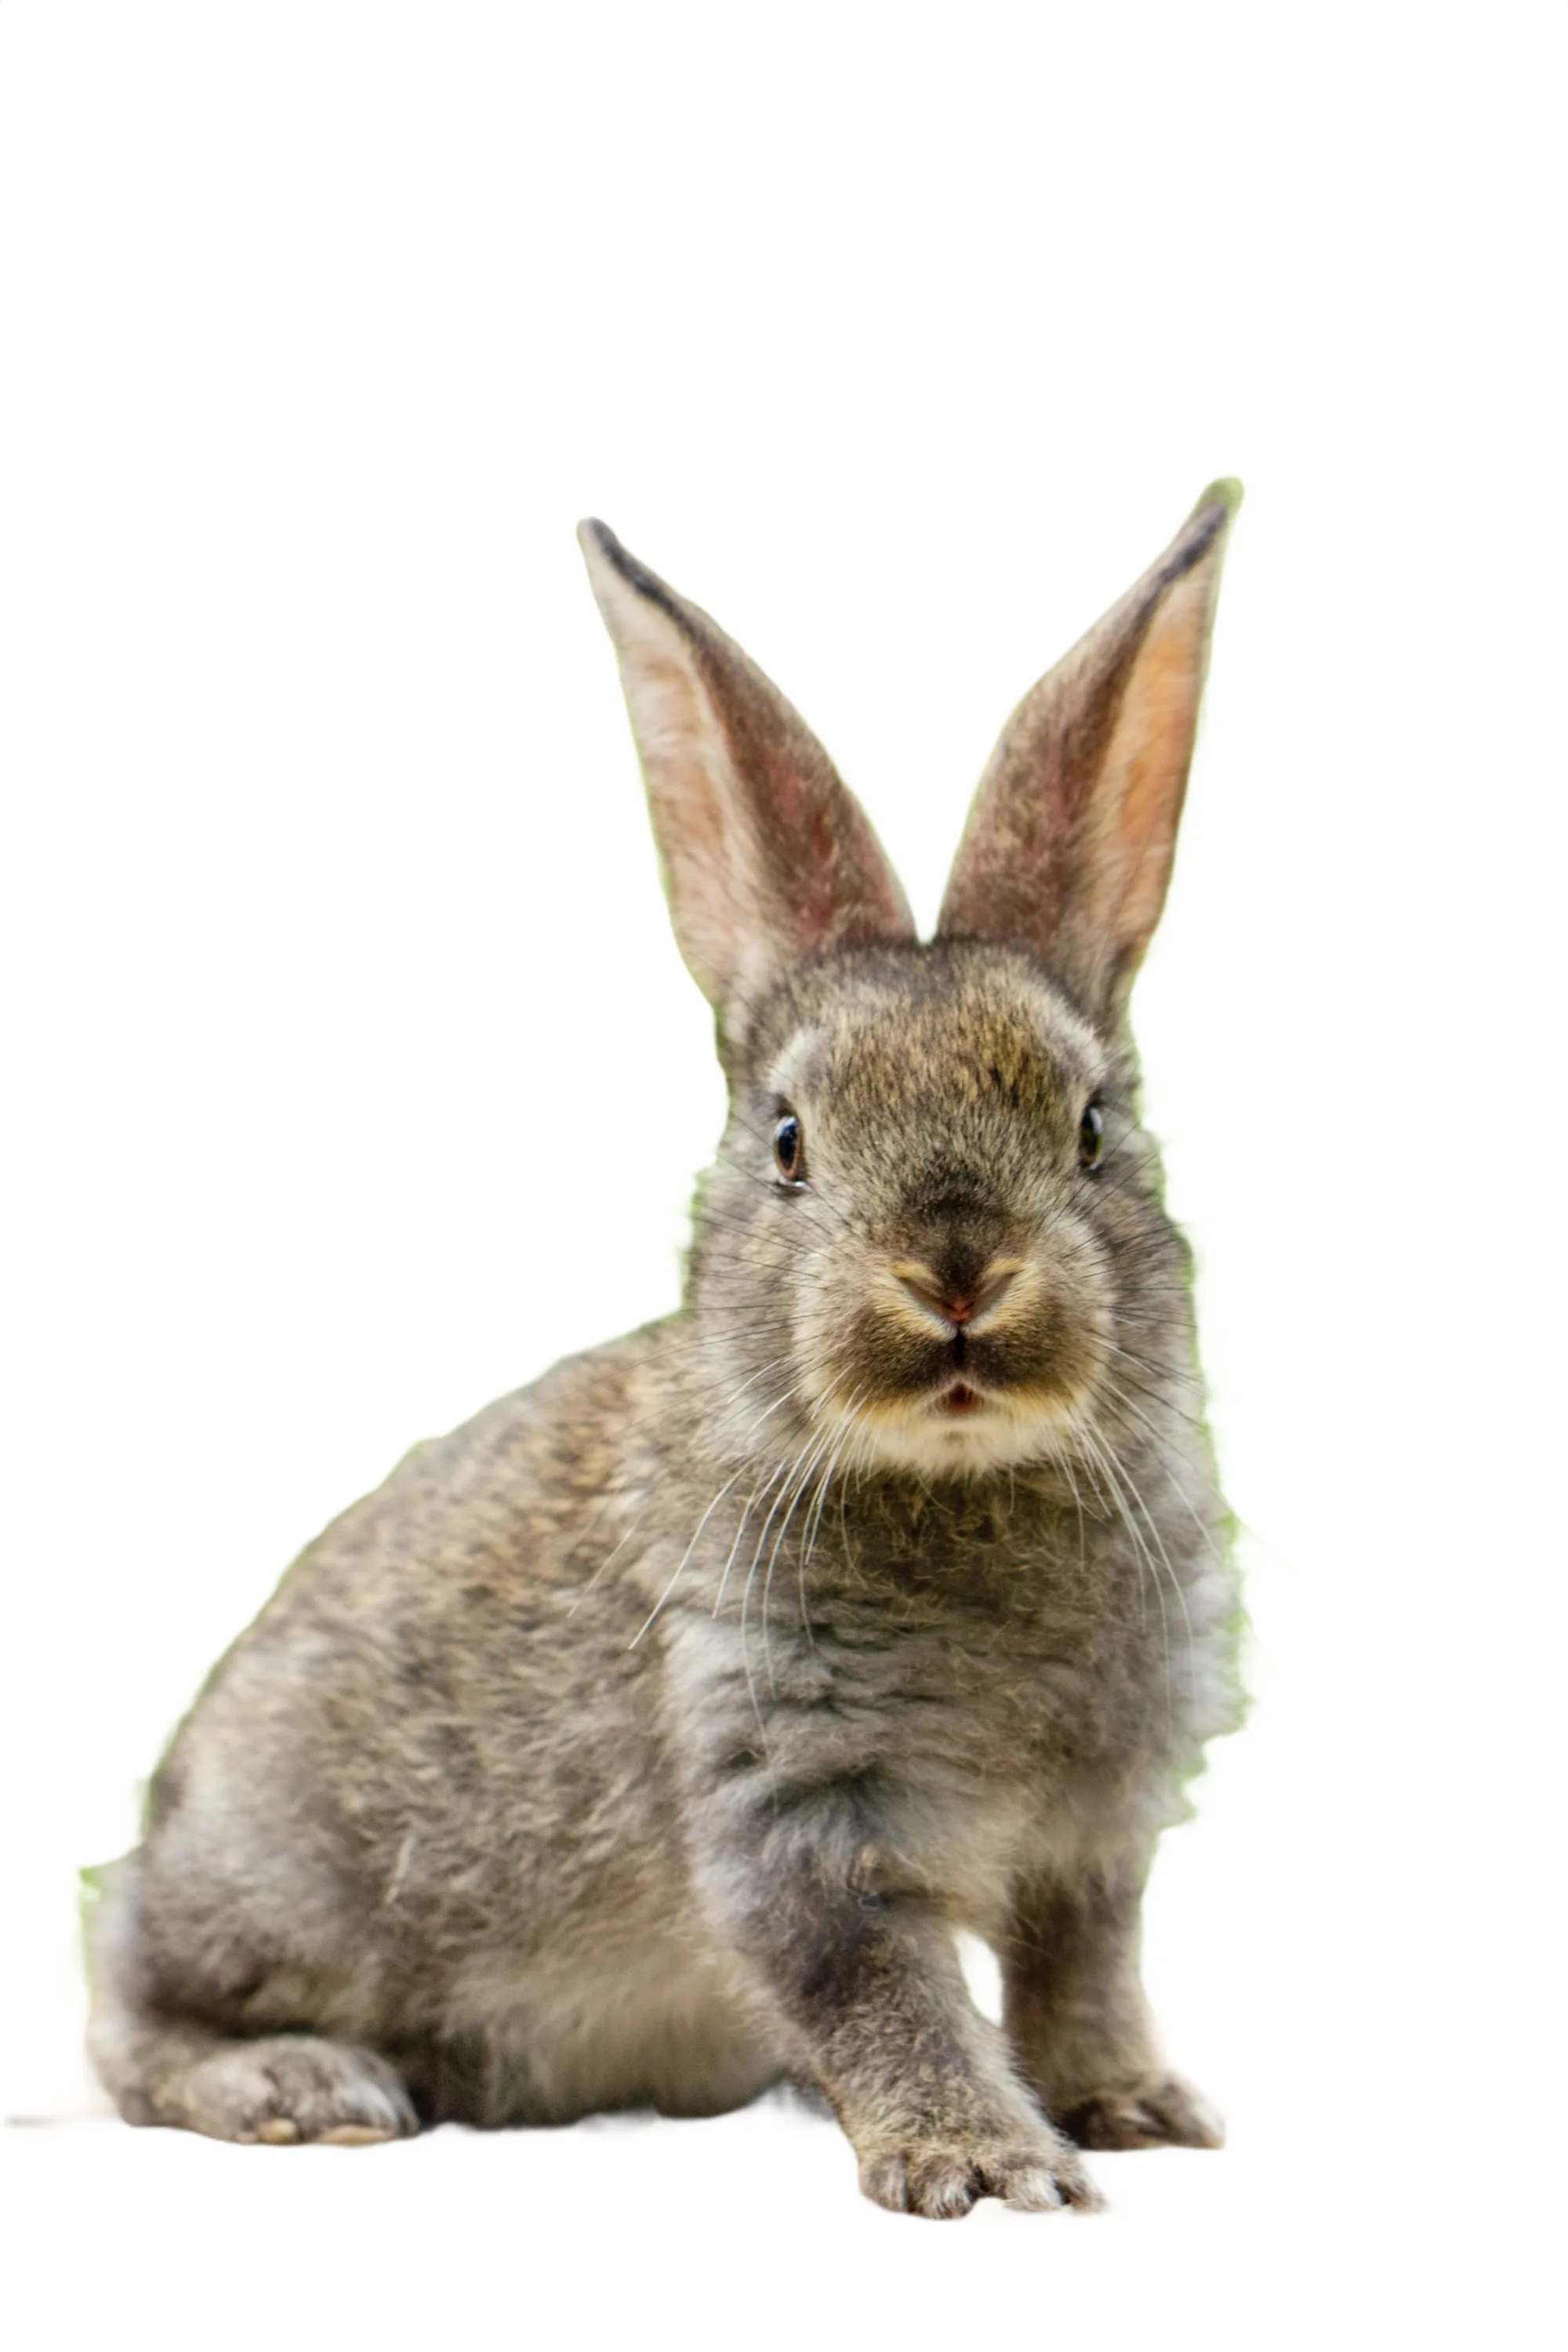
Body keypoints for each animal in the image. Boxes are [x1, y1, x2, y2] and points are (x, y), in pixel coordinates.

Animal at [86, 482, 1246, 2217]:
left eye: (1094, 1128)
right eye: (788, 1141)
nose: (957, 1273)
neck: (961, 1485)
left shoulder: (1092, 1841)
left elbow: (1076, 1978)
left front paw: (1137, 2113)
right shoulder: (790, 1795)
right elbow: (880, 1988)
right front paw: (985, 2169)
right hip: (281, 1885)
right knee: (129, 2006)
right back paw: (299, 2085)